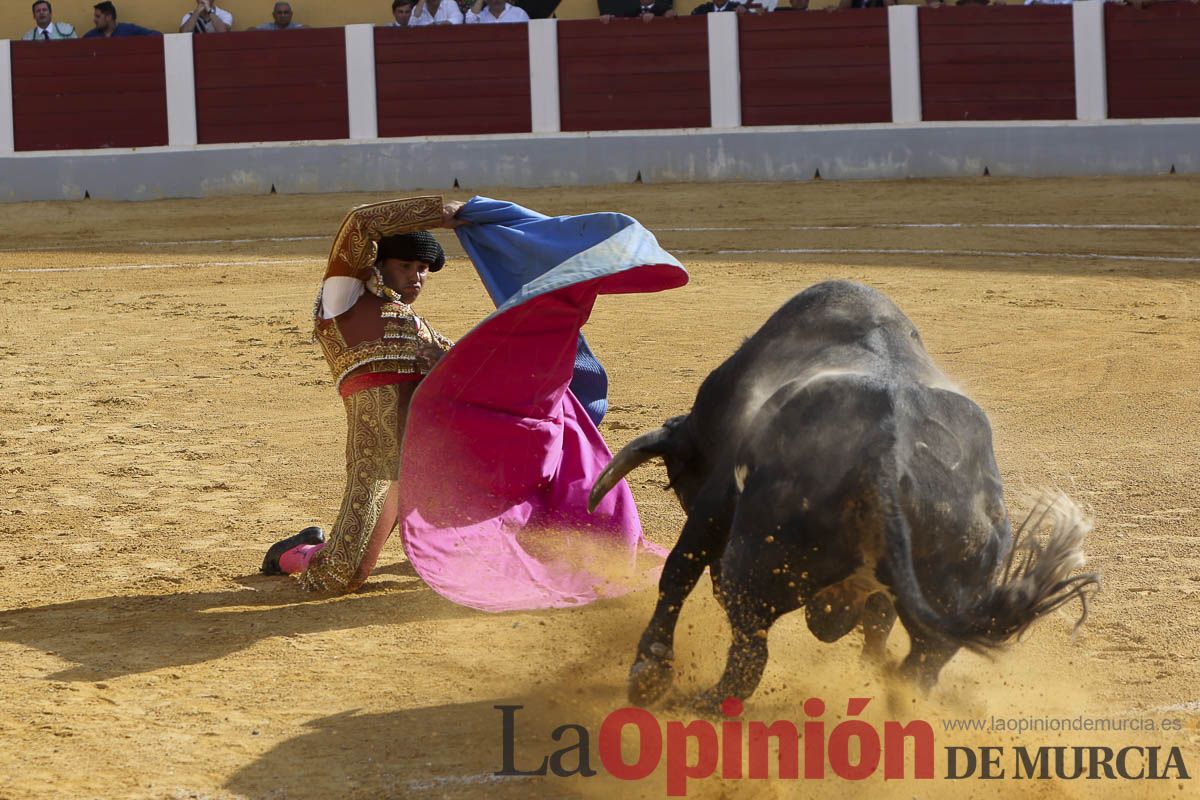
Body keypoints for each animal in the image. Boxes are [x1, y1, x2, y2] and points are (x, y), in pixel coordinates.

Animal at [588, 283, 1099, 705]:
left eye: (680, 481)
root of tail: (888, 455)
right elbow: (877, 624)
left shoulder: (715, 502)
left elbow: (677, 572)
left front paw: (649, 672)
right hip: (946, 597)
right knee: (918, 665)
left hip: (751, 572)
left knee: (747, 658)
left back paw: (694, 704)